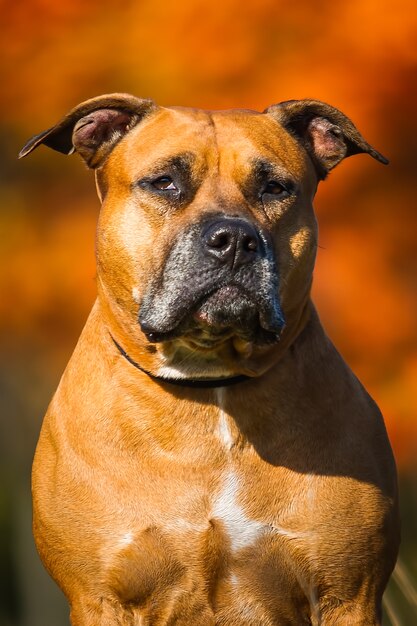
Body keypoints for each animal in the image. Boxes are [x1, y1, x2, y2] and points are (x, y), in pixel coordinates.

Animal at [21, 95, 398, 620]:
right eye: (165, 182)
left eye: (275, 187)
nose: (235, 240)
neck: (209, 382)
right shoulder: (97, 599)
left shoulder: (350, 595)